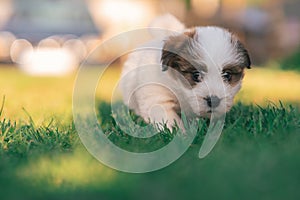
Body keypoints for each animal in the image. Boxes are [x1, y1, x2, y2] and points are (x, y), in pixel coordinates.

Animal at [119, 14, 251, 130]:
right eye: (196, 75)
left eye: (227, 75)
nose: (213, 100)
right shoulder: (157, 94)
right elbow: (165, 115)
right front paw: (177, 132)